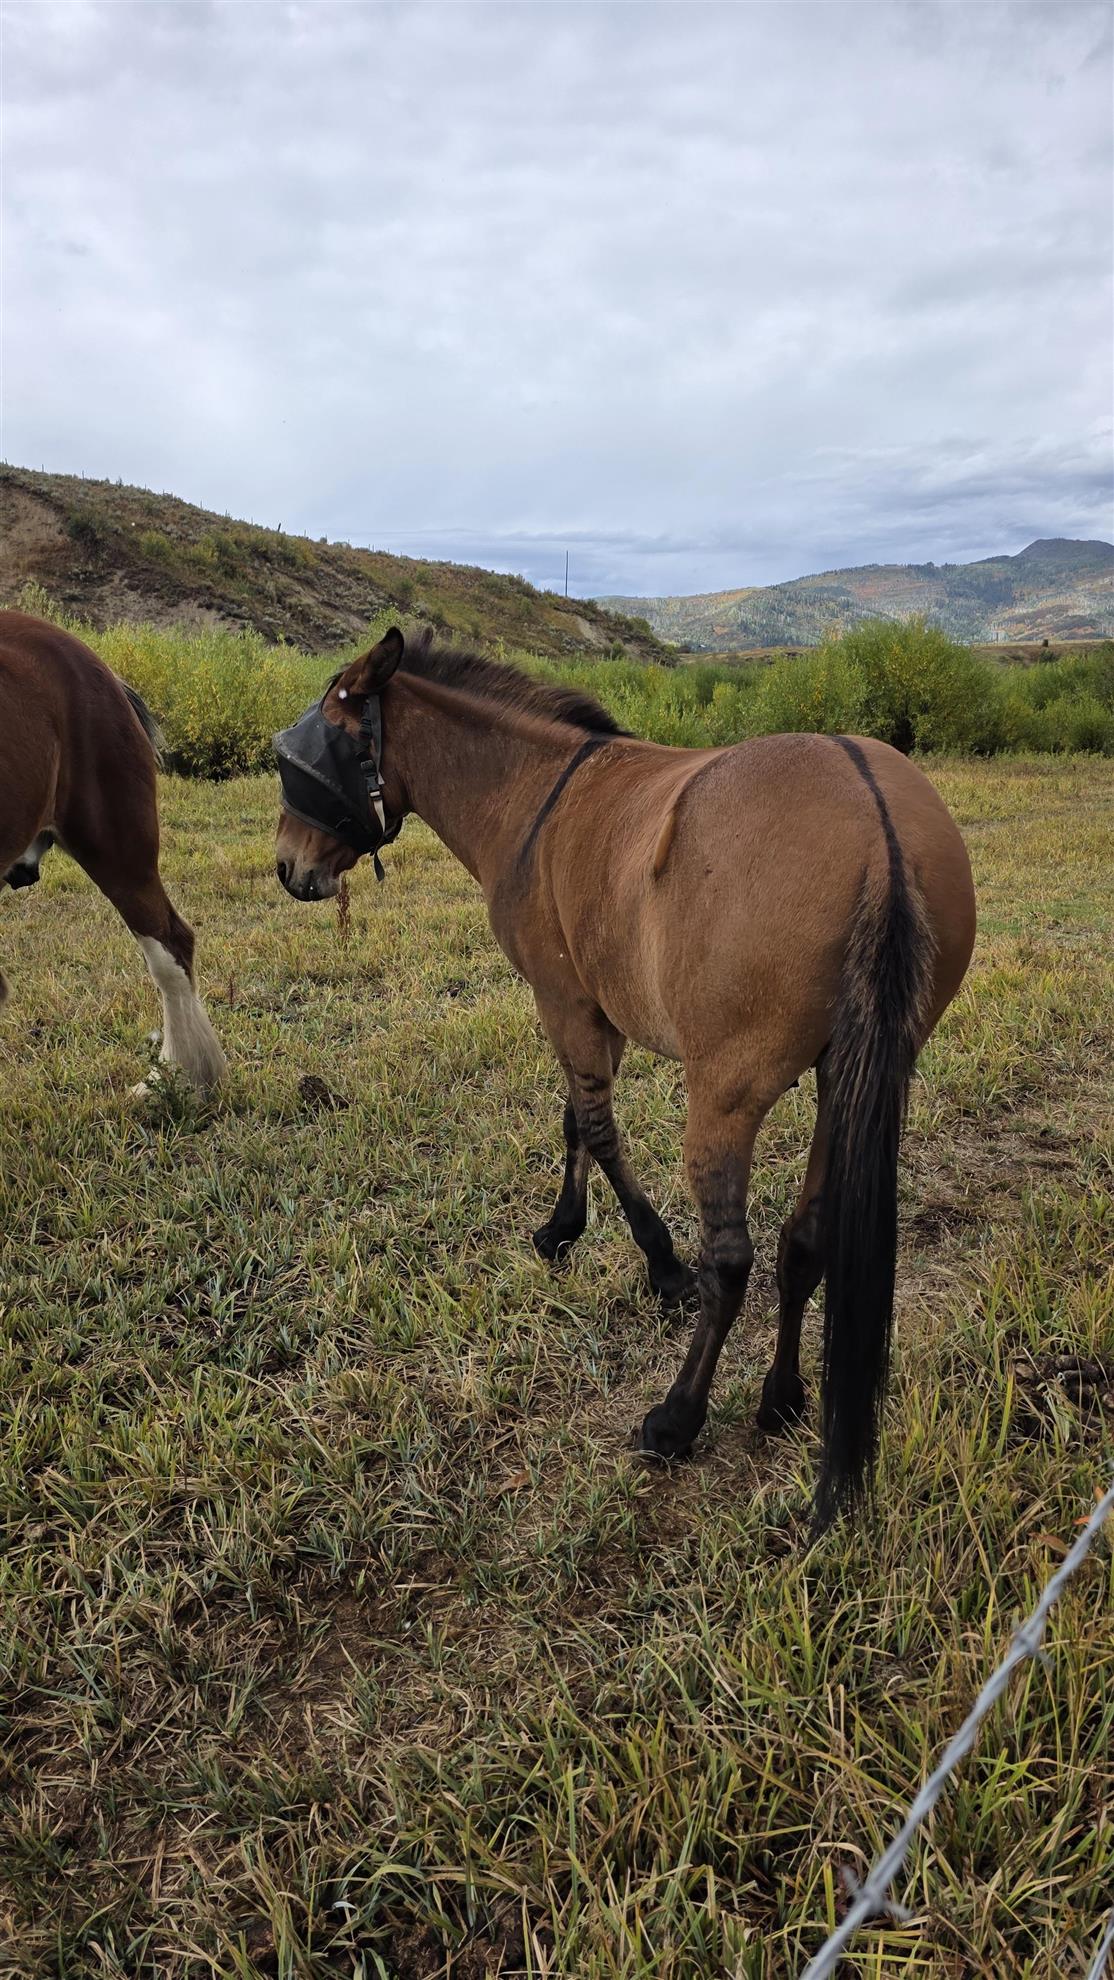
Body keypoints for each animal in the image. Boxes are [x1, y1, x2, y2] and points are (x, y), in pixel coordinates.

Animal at [274, 627, 975, 1527]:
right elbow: (576, 1116)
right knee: (806, 1238)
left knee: (733, 1261)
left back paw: (679, 1415)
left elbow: (599, 1129)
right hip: (843, 1082)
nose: (288, 865)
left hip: (725, 1096)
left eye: (313, 752)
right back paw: (781, 1396)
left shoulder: (564, 1002)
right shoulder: (592, 1014)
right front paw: (563, 1226)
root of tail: (876, 828)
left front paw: (657, 1261)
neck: (536, 795)